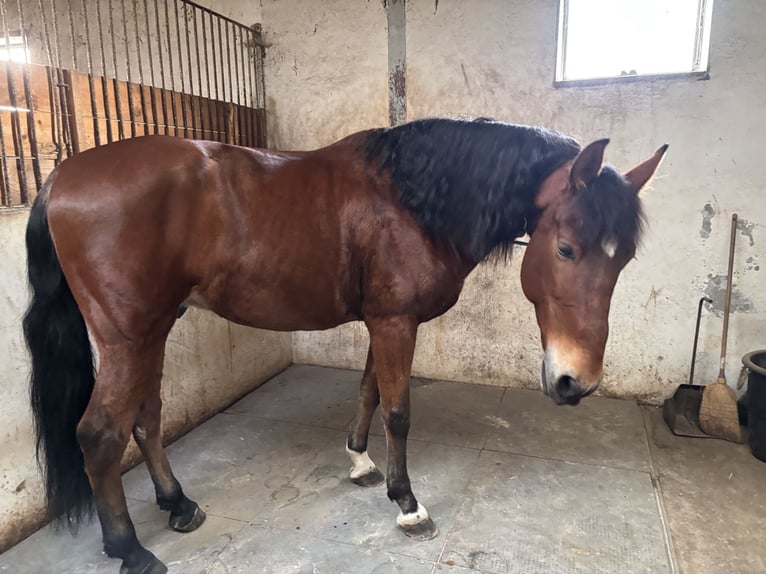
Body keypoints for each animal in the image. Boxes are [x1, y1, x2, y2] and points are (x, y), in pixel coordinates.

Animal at [22, 117, 667, 574]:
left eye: (623, 259)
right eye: (566, 249)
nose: (577, 382)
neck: (411, 202)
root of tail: (61, 176)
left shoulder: (384, 320)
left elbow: (369, 391)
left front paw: (360, 462)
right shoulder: (395, 322)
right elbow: (399, 411)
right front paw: (408, 504)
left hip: (155, 329)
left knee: (146, 419)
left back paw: (178, 504)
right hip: (129, 335)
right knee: (98, 435)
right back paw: (129, 549)